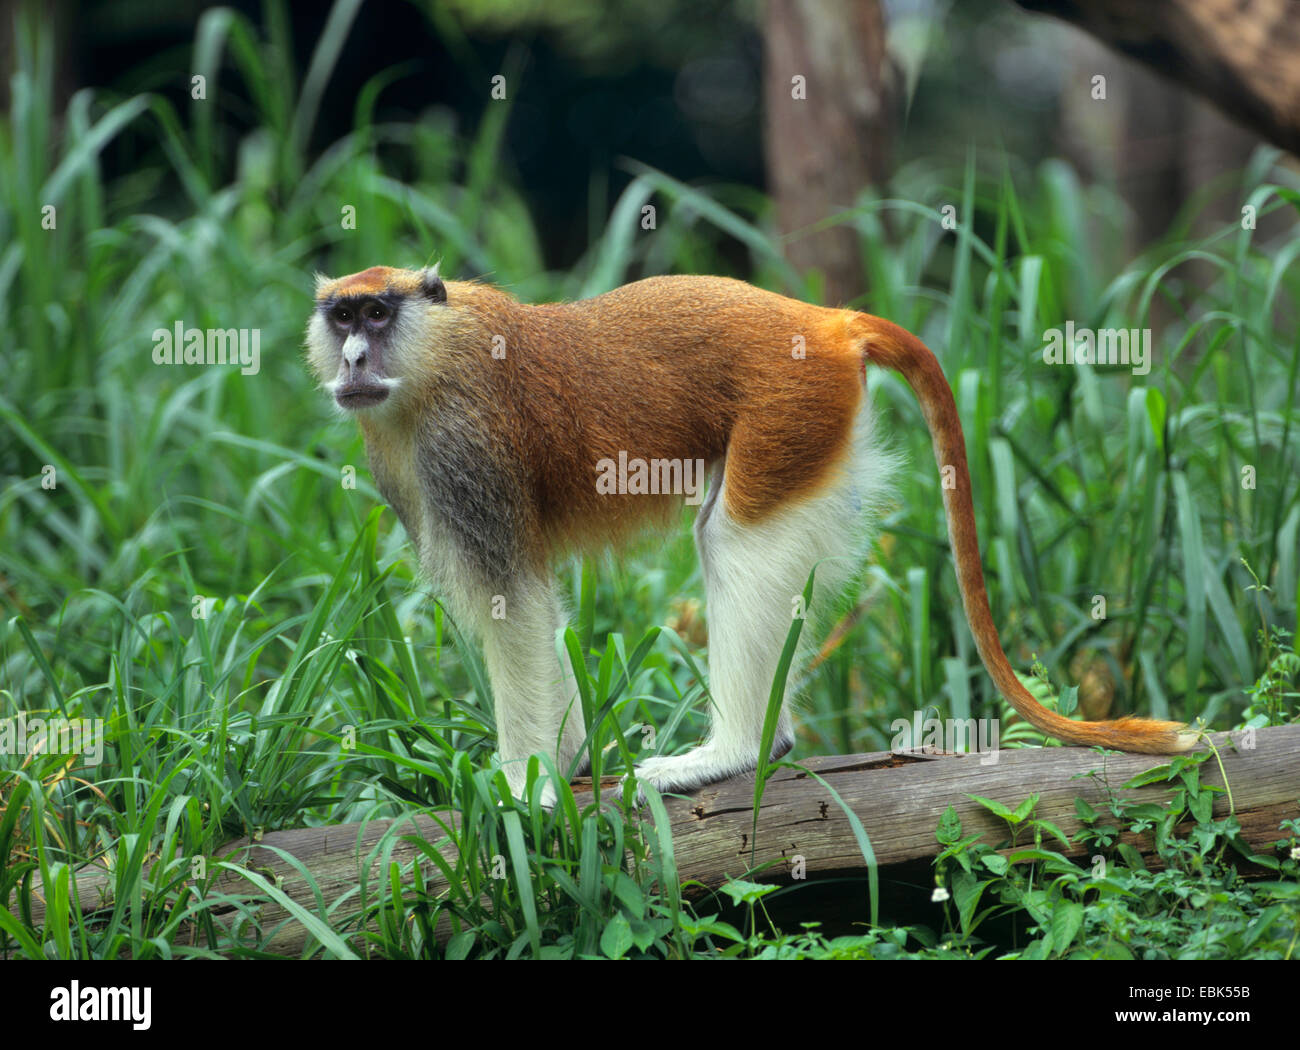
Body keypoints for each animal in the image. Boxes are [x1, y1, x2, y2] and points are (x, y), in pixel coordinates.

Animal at [306, 264, 1199, 800]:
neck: (435, 356)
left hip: (792, 411)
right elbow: (528, 609)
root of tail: (828, 320)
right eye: (341, 315)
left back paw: (732, 751)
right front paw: (563, 761)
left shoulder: (464, 449)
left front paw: (526, 786)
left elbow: (512, 606)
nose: (351, 360)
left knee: (733, 541)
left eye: (377, 313)